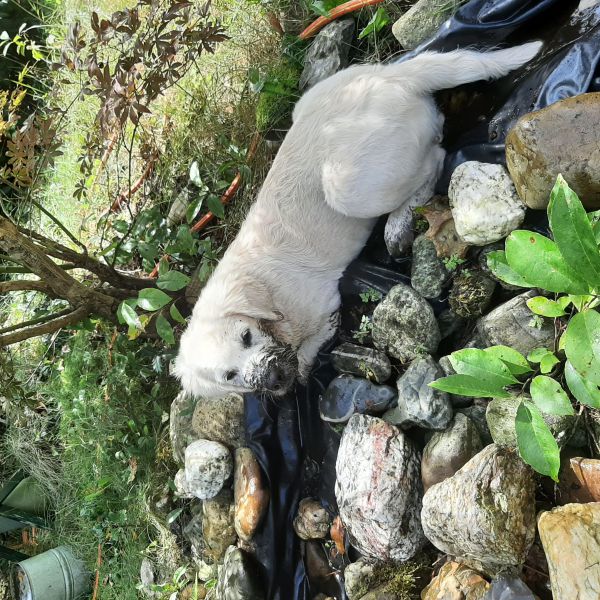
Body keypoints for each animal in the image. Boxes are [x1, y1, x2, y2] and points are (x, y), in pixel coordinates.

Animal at [172, 42, 540, 398]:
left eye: (247, 337)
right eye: (230, 376)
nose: (272, 378)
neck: (273, 307)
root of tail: (394, 75)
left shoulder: (323, 305)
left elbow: (308, 348)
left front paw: (303, 361)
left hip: (347, 186)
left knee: (434, 158)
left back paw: (397, 224)